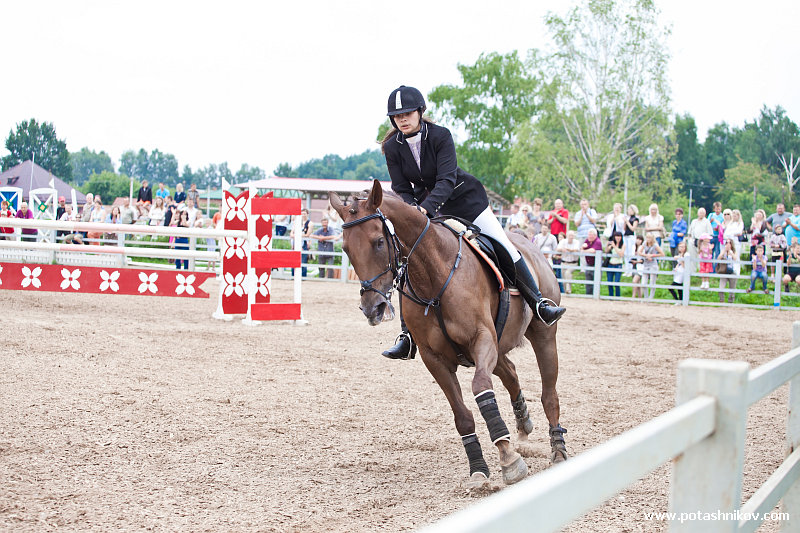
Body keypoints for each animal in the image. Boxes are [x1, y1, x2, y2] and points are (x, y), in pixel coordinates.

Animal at [328, 180, 567, 488]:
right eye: (346, 248)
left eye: (379, 241)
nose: (373, 309)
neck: (434, 276)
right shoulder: (435, 358)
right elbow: (462, 415)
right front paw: (479, 469)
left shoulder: (481, 340)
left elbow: (481, 388)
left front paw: (508, 459)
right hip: (499, 346)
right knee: (511, 374)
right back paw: (523, 422)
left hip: (543, 336)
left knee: (549, 394)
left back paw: (558, 450)